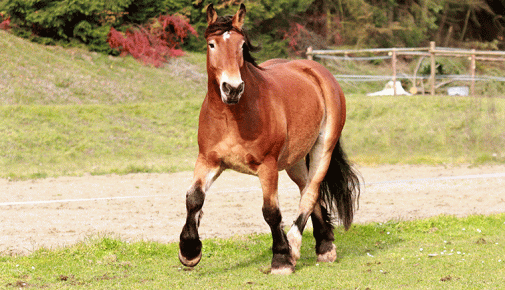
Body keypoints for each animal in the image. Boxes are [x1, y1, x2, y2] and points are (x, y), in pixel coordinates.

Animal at [177, 3, 358, 274]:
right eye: (212, 44)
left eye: (241, 45)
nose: (232, 88)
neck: (233, 116)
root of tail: (316, 71)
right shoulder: (208, 160)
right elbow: (194, 198)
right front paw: (189, 251)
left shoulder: (267, 166)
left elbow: (271, 212)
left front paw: (281, 259)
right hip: (295, 161)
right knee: (307, 189)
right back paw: (324, 245)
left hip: (323, 148)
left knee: (310, 193)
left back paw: (295, 246)